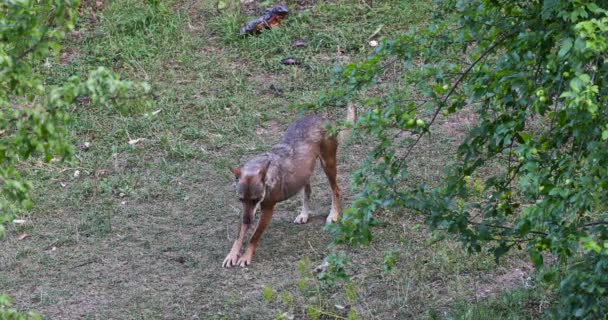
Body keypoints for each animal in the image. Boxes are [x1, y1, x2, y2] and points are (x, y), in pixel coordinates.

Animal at [223, 105, 356, 268]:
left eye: (256, 199)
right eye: (241, 199)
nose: (248, 221)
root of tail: (323, 117)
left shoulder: (267, 210)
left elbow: (254, 236)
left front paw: (245, 257)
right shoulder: (246, 211)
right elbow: (239, 235)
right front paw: (232, 255)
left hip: (328, 165)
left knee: (336, 190)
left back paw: (333, 215)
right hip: (305, 174)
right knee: (308, 192)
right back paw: (304, 215)